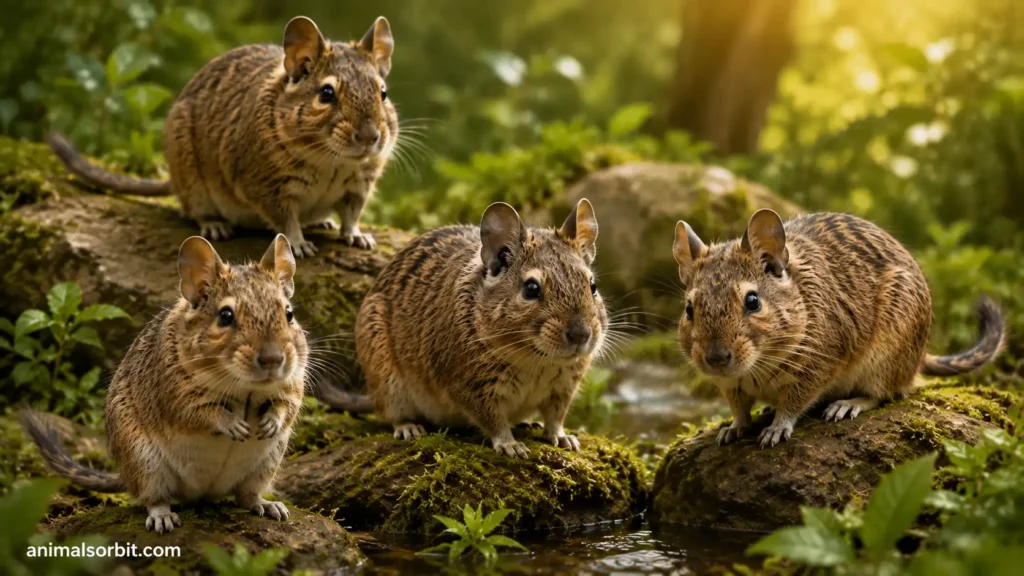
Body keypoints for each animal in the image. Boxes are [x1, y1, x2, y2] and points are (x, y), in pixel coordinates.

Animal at [672, 210, 1005, 448]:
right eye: (689, 308)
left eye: (752, 301)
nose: (715, 358)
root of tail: (921, 355)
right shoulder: (730, 385)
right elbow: (739, 409)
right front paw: (733, 429)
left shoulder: (819, 366)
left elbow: (793, 403)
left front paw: (776, 428)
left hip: (885, 359)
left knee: (884, 393)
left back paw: (846, 405)